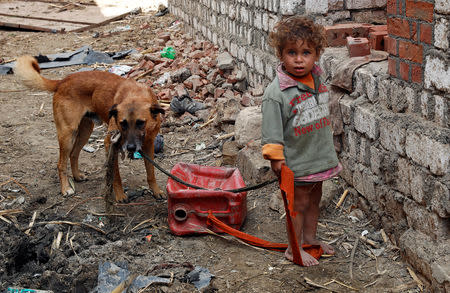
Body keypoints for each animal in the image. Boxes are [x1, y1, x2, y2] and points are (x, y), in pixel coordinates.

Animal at [15, 55, 167, 201]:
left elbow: (151, 172)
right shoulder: (110, 144)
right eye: (122, 123)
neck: (136, 95)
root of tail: (62, 81)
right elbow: (115, 175)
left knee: (73, 154)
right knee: (61, 164)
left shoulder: (148, 144)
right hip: (68, 134)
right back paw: (65, 189)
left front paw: (156, 191)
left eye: (141, 122)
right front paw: (119, 195)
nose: (130, 148)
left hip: (85, 131)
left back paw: (77, 176)